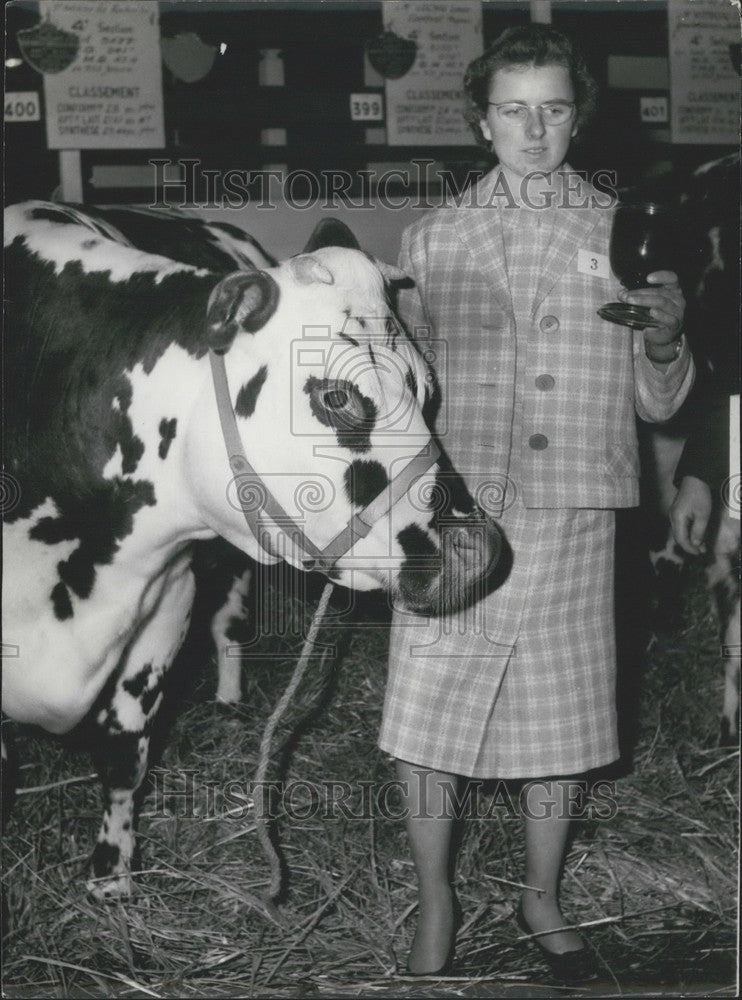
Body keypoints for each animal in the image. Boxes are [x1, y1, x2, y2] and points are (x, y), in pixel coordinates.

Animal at [2, 201, 502, 900]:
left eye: (429, 391)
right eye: (337, 396)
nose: (473, 550)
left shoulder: (166, 598)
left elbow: (125, 753)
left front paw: (111, 876)